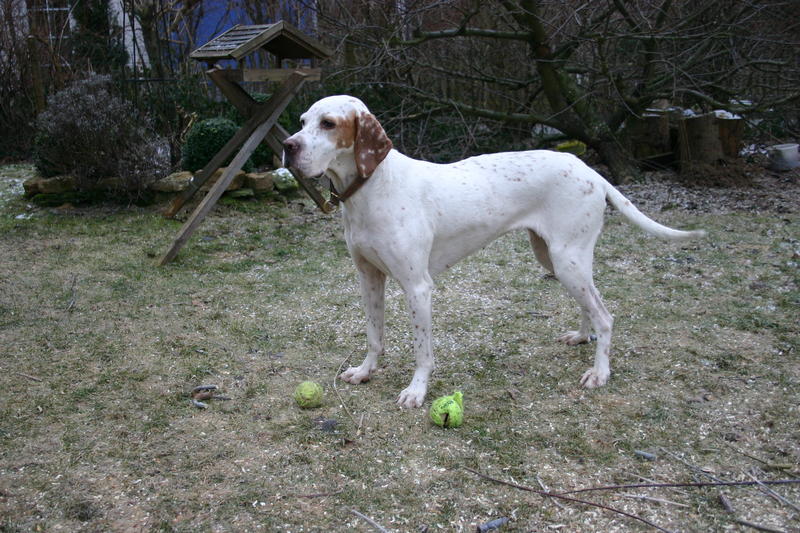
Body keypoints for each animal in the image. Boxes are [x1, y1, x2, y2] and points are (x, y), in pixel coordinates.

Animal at [282, 96, 708, 408]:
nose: (288, 147)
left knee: (605, 315)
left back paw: (599, 372)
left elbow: (422, 350)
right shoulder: (369, 278)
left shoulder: (418, 288)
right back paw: (582, 338)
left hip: (568, 260)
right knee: (591, 306)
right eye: (302, 121)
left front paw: (417, 391)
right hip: (555, 259)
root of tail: (590, 170)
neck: (372, 187)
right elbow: (375, 335)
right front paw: (365, 371)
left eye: (328, 124)